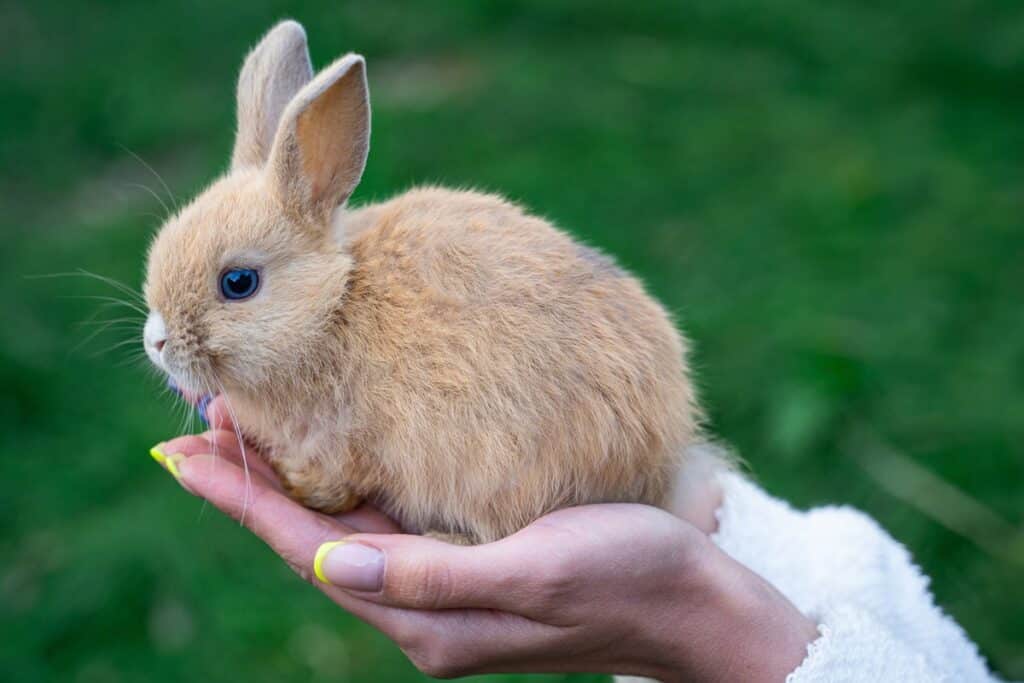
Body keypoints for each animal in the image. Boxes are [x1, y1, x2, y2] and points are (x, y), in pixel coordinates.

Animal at [142, 20, 701, 544]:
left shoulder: (349, 440)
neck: (333, 306)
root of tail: (658, 454)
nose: (156, 343)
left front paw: (296, 480)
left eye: (238, 282)